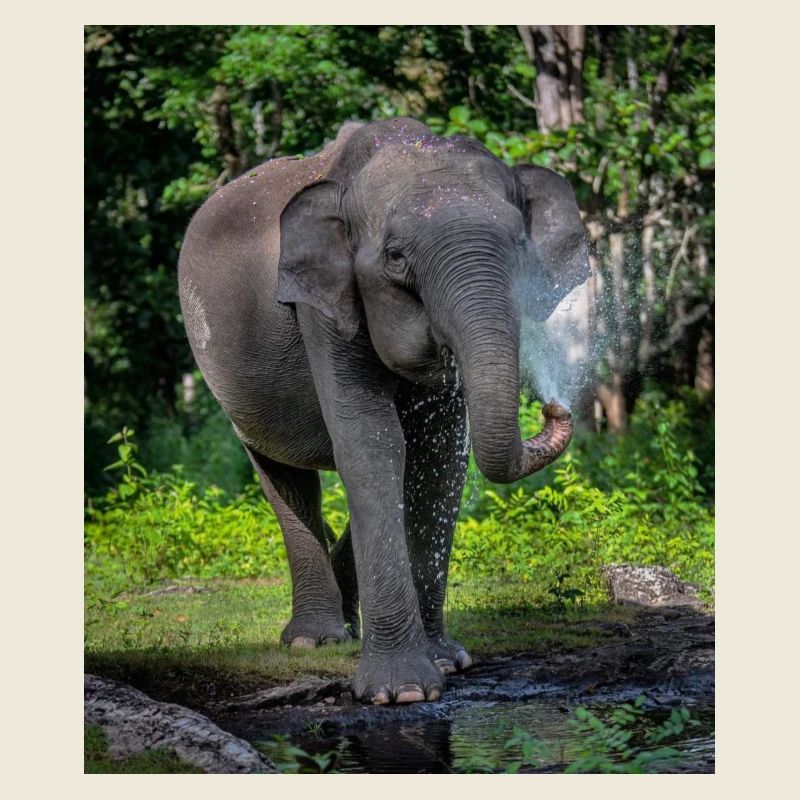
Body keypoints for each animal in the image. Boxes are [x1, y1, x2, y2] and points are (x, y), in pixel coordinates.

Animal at [178, 118, 590, 705]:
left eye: (519, 247)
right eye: (395, 256)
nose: (555, 407)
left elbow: (436, 458)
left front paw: (449, 662)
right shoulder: (321, 303)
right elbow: (374, 443)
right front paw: (403, 692)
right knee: (284, 479)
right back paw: (315, 640)